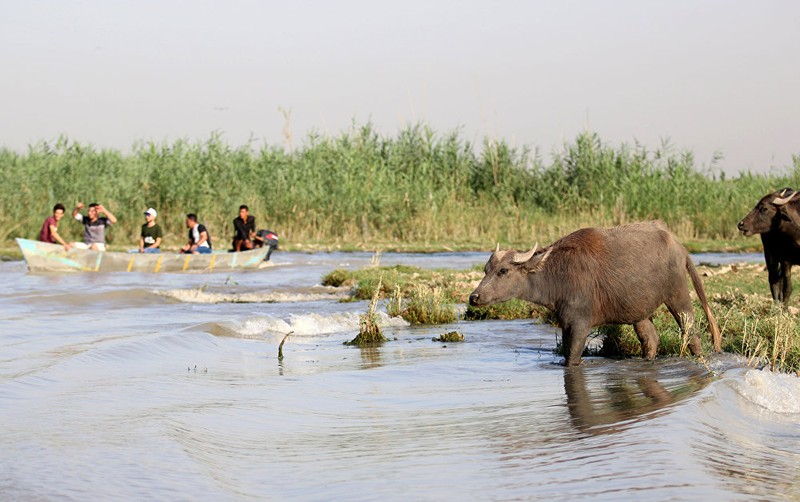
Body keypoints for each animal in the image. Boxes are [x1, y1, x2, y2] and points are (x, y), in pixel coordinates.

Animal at [468, 222, 724, 366]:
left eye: (503, 271)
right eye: (486, 269)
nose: (474, 297)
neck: (558, 275)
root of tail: (679, 247)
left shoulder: (580, 323)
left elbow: (572, 358)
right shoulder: (565, 323)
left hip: (677, 295)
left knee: (692, 332)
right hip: (639, 311)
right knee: (650, 339)